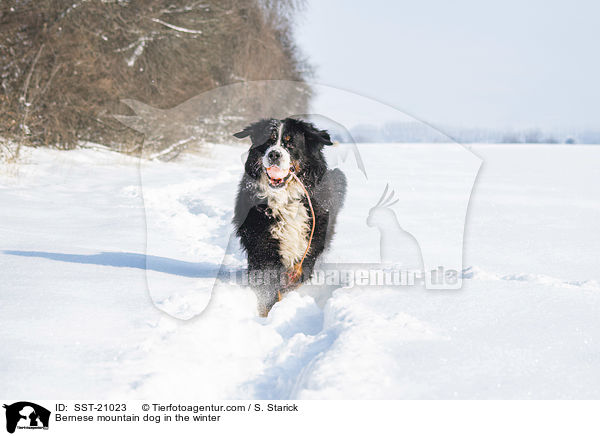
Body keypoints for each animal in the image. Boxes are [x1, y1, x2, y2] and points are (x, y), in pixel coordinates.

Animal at [233, 117, 346, 316]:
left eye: (290, 143)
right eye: (268, 142)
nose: (274, 154)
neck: (285, 199)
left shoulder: (310, 246)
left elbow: (296, 278)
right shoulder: (263, 246)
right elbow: (268, 289)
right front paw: (267, 315)